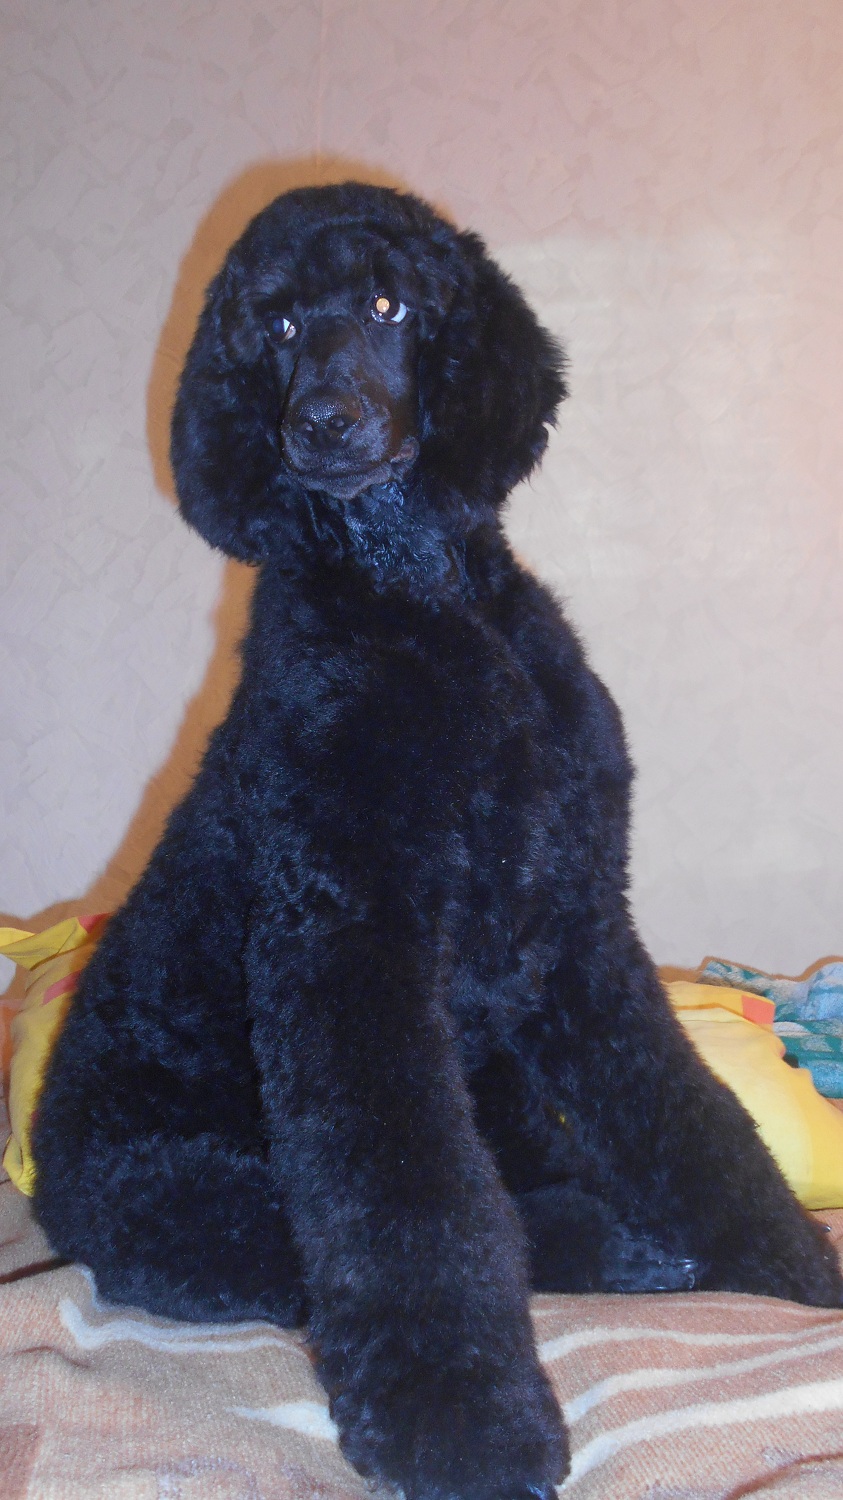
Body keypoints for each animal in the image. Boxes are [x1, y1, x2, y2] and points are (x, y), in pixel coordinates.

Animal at [33, 183, 842, 1499]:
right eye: (274, 326)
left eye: (387, 306)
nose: (322, 424)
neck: (419, 599)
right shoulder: (353, 944)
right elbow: (410, 1207)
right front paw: (464, 1429)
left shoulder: (580, 932)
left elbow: (688, 1116)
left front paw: (793, 1276)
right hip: (190, 1194)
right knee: (411, 1232)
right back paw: (620, 1252)